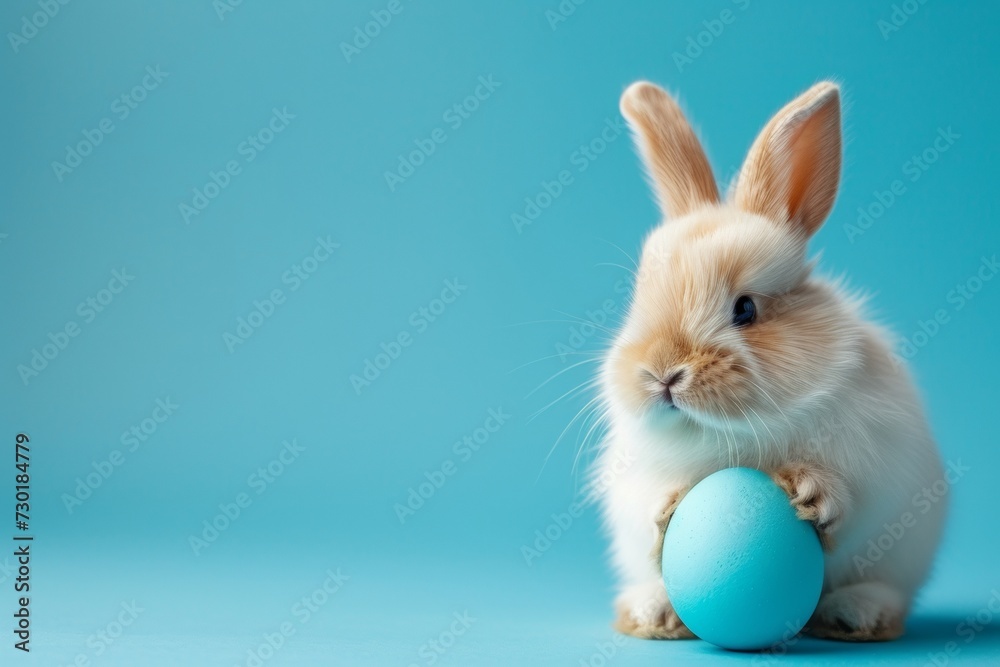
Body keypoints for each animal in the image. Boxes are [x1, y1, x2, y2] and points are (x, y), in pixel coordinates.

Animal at [594, 80, 946, 642]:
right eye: (637, 301)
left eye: (745, 309)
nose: (661, 374)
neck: (728, 432)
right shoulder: (631, 476)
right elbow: (645, 502)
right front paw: (667, 507)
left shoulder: (879, 464)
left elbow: (851, 501)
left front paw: (813, 493)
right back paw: (654, 613)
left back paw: (858, 615)